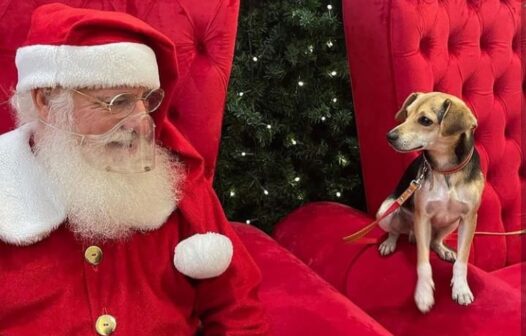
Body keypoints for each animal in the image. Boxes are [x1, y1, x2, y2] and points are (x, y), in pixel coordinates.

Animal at [380, 91, 486, 312]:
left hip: (452, 223)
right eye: (406, 114)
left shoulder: (469, 218)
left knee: (435, 241)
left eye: (425, 121)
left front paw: (461, 289)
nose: (389, 136)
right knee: (396, 231)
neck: (446, 170)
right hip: (386, 210)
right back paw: (389, 243)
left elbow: (462, 261)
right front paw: (423, 293)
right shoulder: (422, 217)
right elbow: (423, 262)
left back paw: (444, 250)